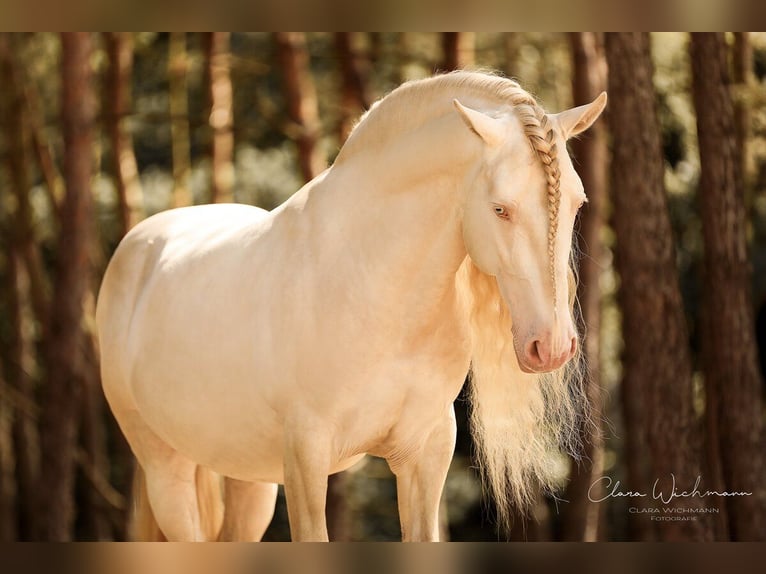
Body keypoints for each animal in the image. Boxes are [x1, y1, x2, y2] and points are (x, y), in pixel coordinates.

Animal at [96, 70, 608, 544]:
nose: (552, 346)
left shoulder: (427, 452)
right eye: (501, 209)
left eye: (578, 202)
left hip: (248, 476)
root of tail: (137, 246)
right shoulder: (306, 456)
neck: (381, 298)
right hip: (167, 469)